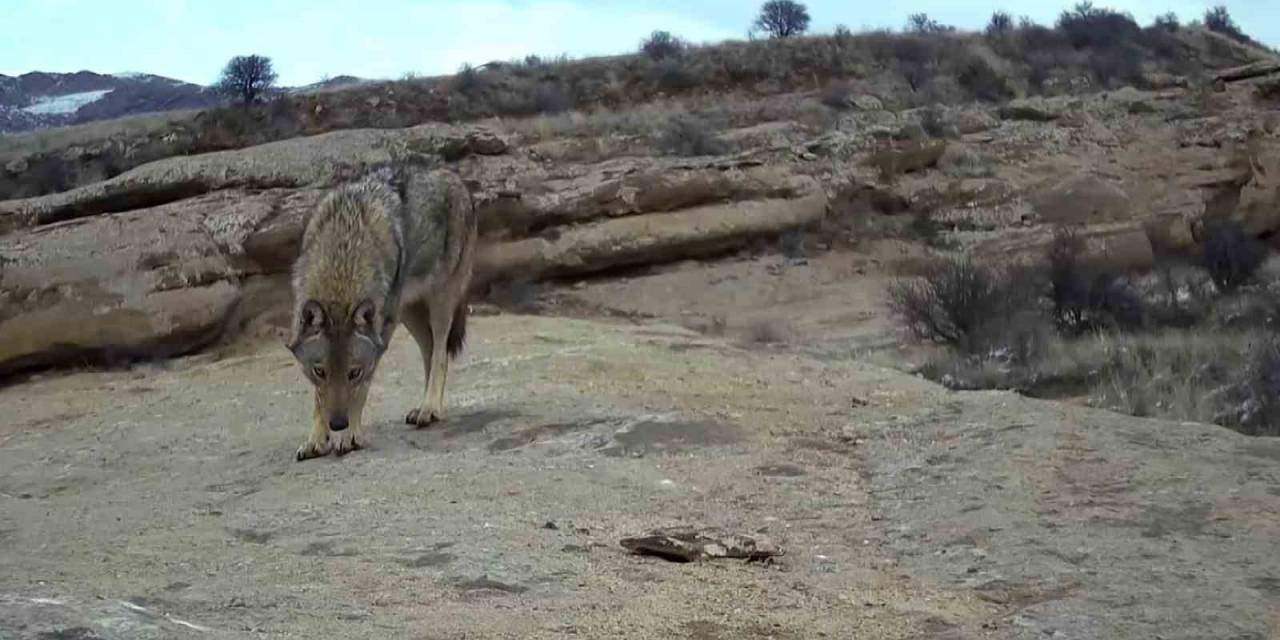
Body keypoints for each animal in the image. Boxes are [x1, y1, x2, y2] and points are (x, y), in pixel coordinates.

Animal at [285, 165, 476, 460]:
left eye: (354, 373)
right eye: (320, 372)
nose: (337, 424)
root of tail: (454, 176)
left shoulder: (380, 337)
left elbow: (361, 392)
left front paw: (350, 436)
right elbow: (318, 399)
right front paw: (316, 439)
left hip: (438, 303)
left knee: (441, 353)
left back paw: (430, 407)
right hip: (407, 313)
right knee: (430, 350)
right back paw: (424, 407)